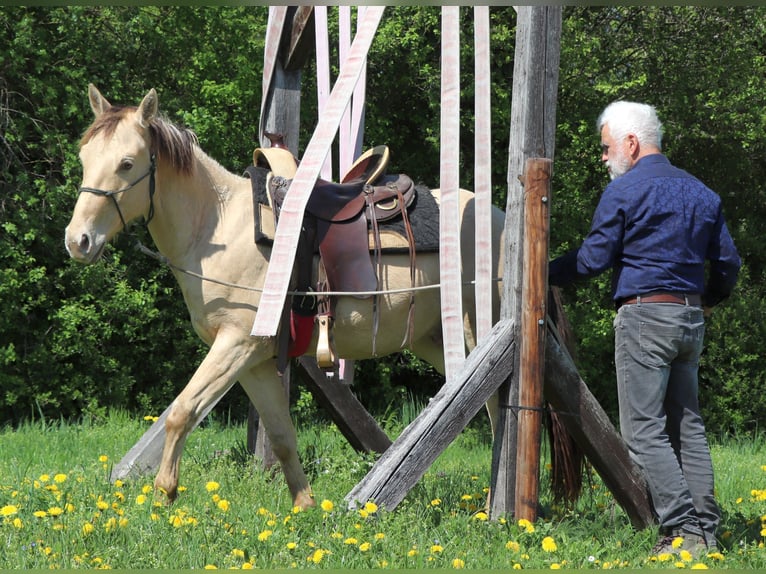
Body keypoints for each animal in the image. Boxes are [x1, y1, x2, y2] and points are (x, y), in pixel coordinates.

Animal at [64, 85, 506, 509]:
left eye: (126, 163)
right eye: (85, 157)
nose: (77, 241)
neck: (218, 227)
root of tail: (501, 218)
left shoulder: (236, 344)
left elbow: (182, 412)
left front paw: (162, 497)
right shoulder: (254, 362)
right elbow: (281, 437)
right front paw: (304, 507)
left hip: (476, 333)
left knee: (495, 406)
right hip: (435, 340)